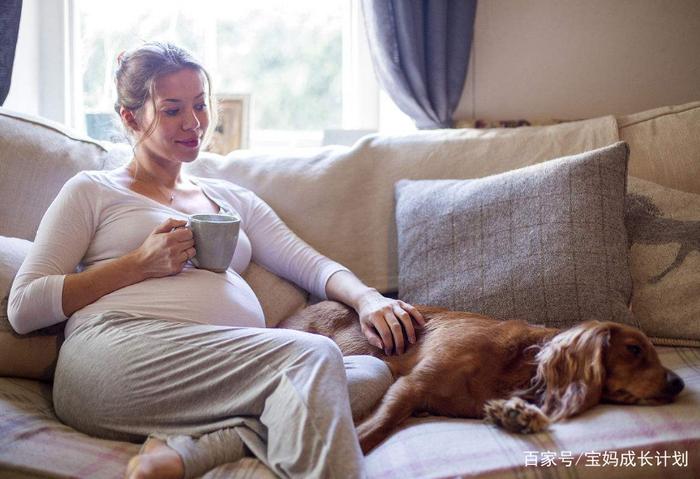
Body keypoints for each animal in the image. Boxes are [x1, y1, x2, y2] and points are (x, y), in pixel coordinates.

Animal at [278, 302, 684, 456]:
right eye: (634, 349)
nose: (679, 384)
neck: (516, 365)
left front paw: (517, 415)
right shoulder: (411, 385)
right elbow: (380, 424)